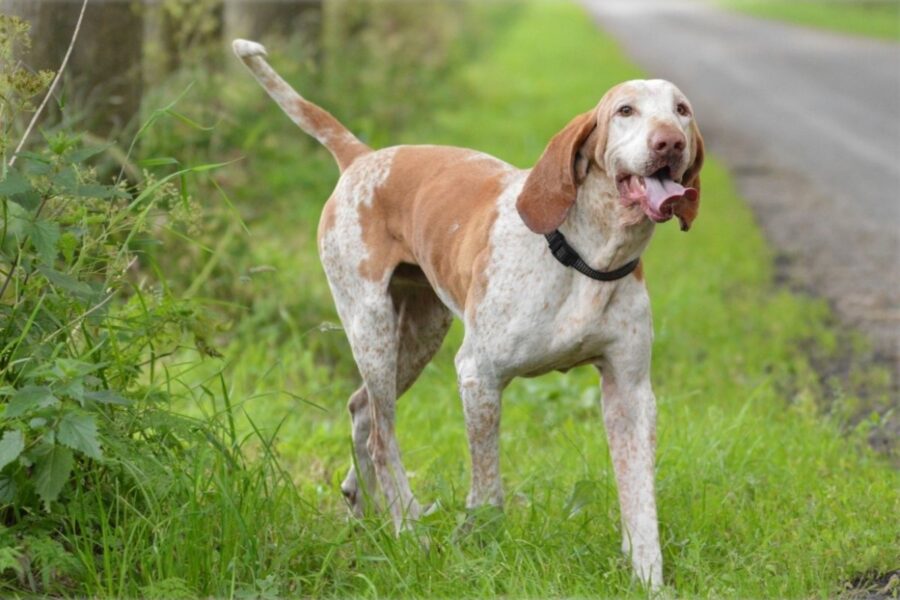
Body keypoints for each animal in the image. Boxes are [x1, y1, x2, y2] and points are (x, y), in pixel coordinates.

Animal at [232, 38, 704, 592]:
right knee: (381, 437)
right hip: (371, 327)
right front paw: (477, 547)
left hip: (418, 335)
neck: (588, 256)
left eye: (682, 110)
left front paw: (648, 578)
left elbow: (639, 501)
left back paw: (366, 512)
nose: (670, 143)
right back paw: (409, 529)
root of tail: (364, 157)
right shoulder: (479, 375)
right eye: (626, 111)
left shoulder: (630, 393)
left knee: (361, 409)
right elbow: (488, 488)